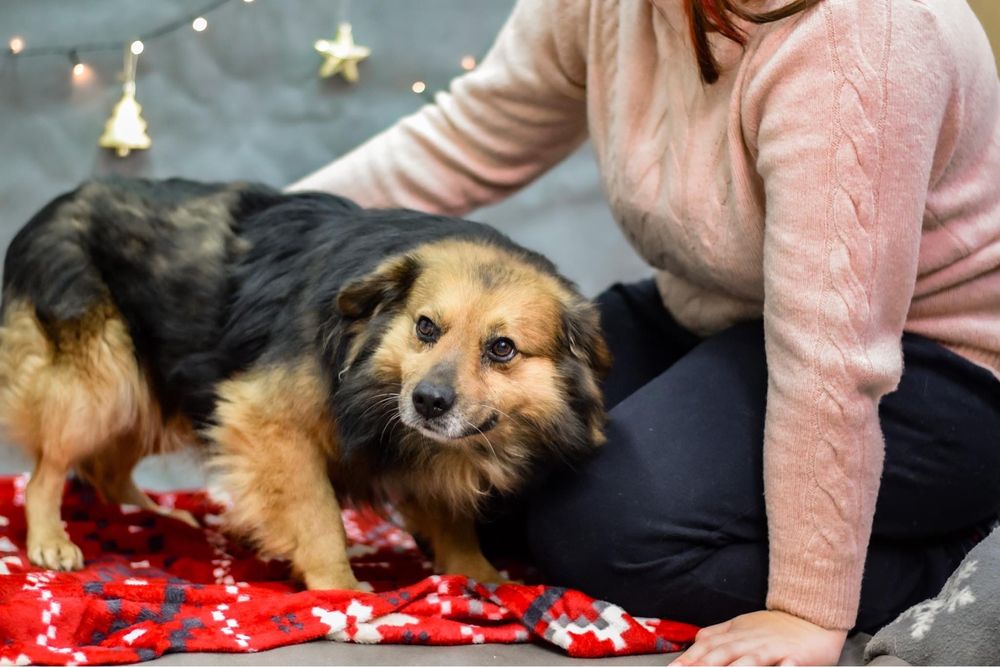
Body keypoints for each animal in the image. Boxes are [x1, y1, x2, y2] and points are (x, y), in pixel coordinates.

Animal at [0, 179, 608, 588]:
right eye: (426, 327)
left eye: (502, 348)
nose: (428, 403)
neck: (363, 355)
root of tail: (52, 207)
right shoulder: (264, 422)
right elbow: (318, 514)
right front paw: (339, 588)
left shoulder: (428, 452)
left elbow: (453, 522)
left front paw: (482, 578)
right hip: (104, 379)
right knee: (48, 471)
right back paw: (51, 540)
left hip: (151, 385)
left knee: (105, 469)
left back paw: (154, 514)